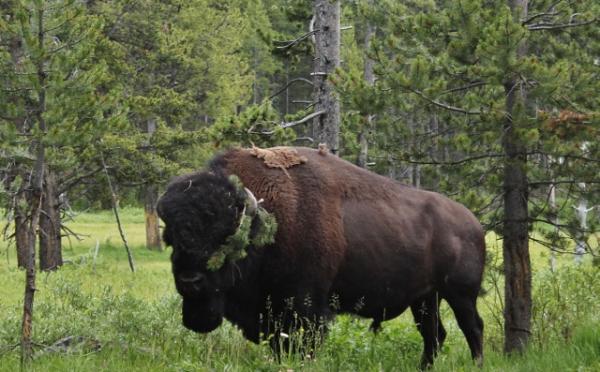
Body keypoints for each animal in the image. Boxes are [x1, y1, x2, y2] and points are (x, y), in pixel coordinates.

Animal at [157, 147, 486, 368]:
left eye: (227, 239)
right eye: (170, 238)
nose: (190, 280)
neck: (268, 217)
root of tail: (473, 223)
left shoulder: (306, 310)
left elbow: (304, 346)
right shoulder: (274, 316)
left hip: (461, 294)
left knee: (472, 328)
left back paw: (477, 364)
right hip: (425, 298)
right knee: (434, 334)